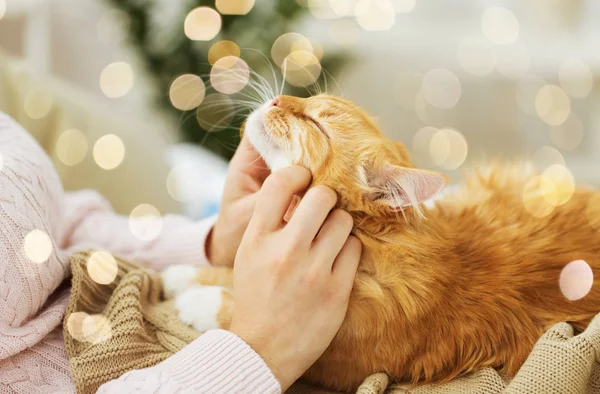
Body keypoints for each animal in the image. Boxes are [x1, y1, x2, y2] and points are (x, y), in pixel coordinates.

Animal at [161, 94, 600, 392]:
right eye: (308, 100)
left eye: (316, 122)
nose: (276, 98)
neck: (374, 246)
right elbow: (231, 269)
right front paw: (183, 274)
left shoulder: (333, 362)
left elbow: (235, 310)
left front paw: (198, 300)